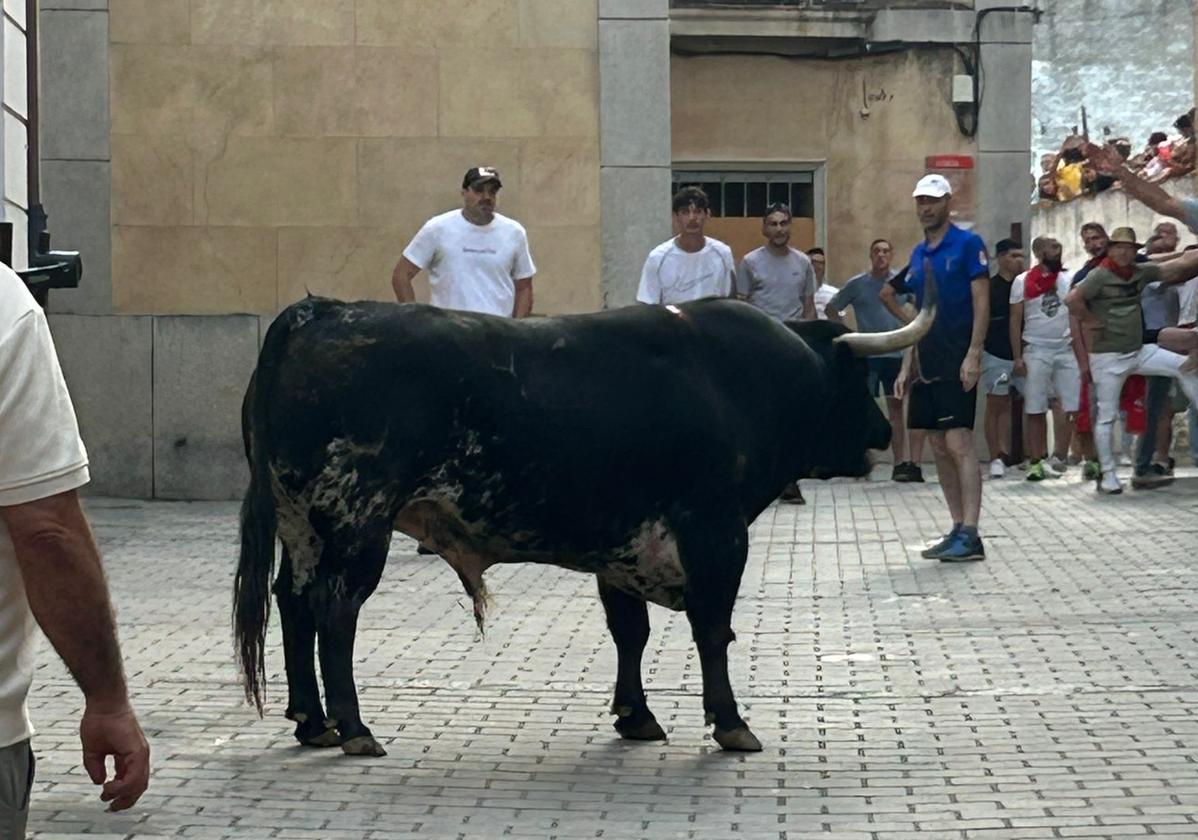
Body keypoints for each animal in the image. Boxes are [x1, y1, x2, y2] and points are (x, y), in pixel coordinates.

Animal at [236, 293, 934, 752]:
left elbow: (631, 633)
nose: (881, 431)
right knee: (336, 612)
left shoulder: (623, 545)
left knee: (292, 602)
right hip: (359, 520)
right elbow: (713, 630)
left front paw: (635, 715)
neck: (742, 379)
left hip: (301, 524)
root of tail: (322, 311)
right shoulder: (715, 532)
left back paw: (312, 722)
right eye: (853, 379)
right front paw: (731, 722)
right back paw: (354, 728)